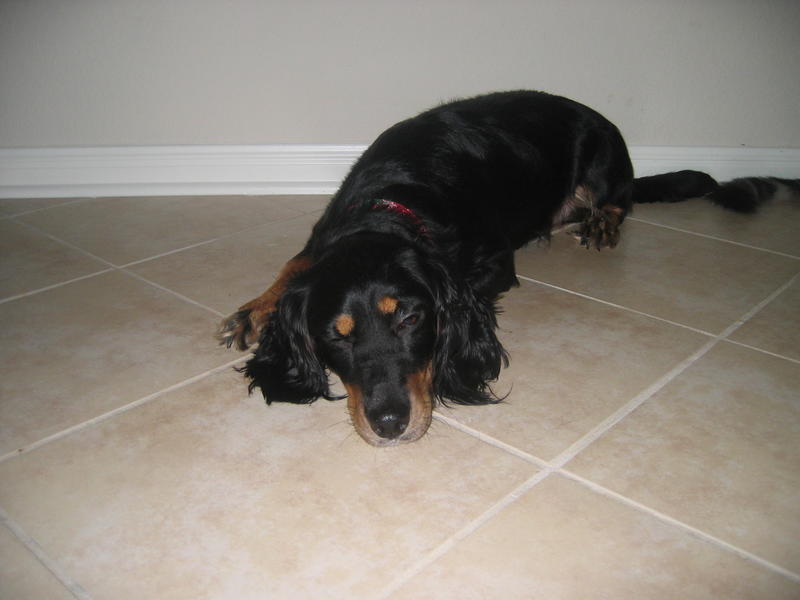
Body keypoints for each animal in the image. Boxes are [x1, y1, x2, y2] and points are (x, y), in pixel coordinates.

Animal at [217, 89, 792, 446]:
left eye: (411, 319)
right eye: (336, 337)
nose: (390, 423)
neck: (388, 202)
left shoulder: (491, 266)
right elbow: (294, 263)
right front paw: (256, 308)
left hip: (603, 158)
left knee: (618, 200)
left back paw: (601, 221)